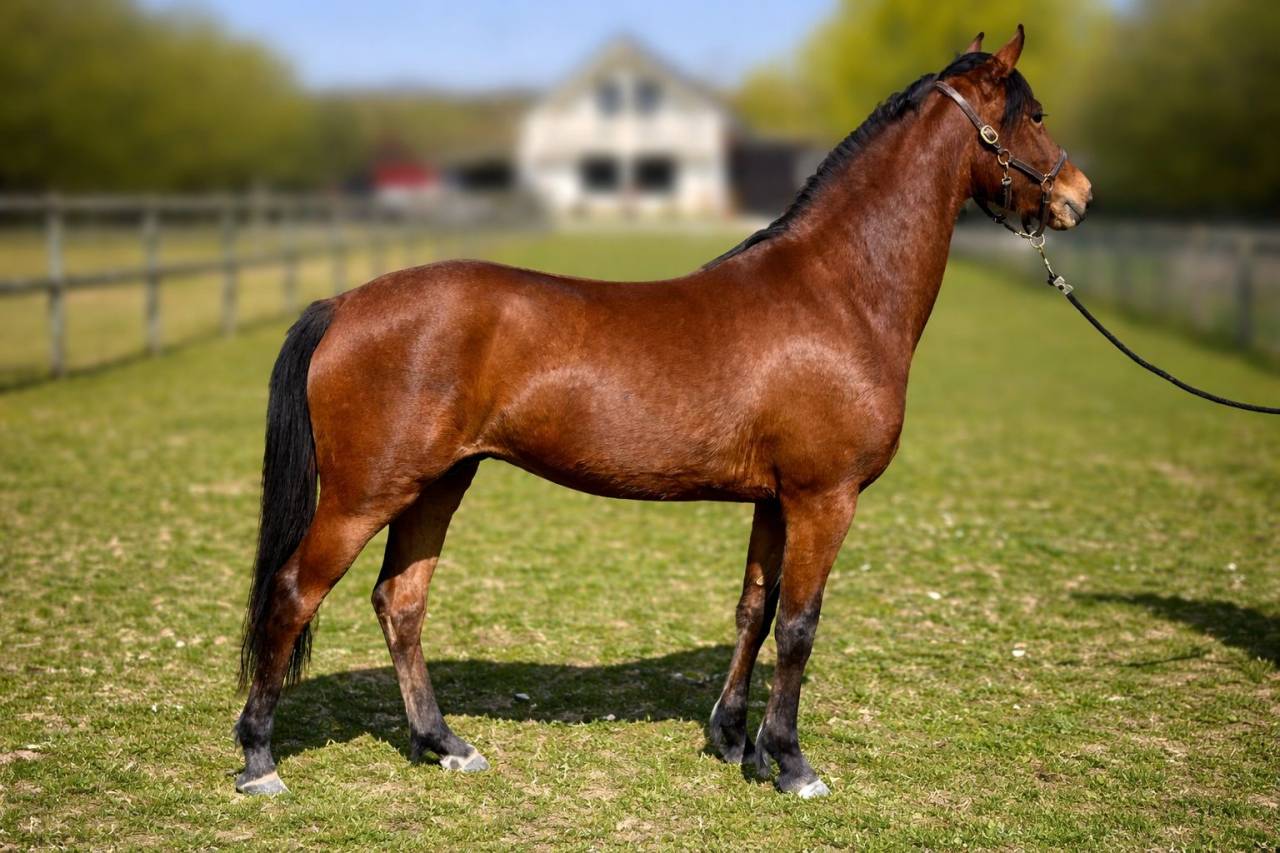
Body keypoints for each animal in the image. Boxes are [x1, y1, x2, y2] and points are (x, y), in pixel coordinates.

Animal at [233, 25, 1093, 799]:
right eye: (1034, 113)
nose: (1078, 195)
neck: (837, 291)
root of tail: (343, 304)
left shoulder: (776, 501)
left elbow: (755, 610)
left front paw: (735, 740)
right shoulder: (825, 498)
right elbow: (799, 625)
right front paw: (791, 762)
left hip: (438, 482)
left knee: (400, 601)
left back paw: (443, 742)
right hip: (365, 494)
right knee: (293, 593)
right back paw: (260, 759)